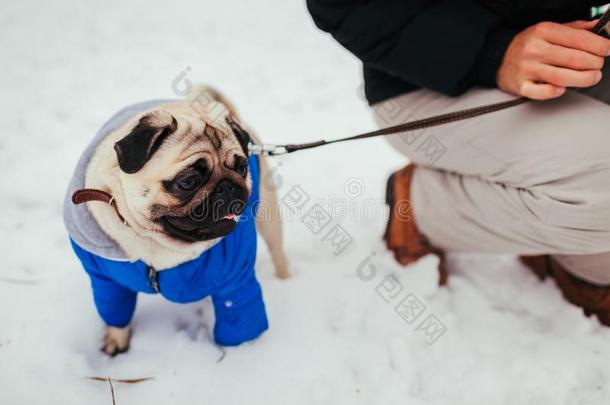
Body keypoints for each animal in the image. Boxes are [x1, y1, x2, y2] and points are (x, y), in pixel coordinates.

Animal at [64, 85, 288, 354]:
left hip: (269, 216)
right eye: (188, 181)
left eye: (241, 168)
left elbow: (239, 316)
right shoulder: (105, 280)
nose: (227, 186)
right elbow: (115, 311)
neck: (154, 241)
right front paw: (116, 341)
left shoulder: (234, 280)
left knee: (278, 252)